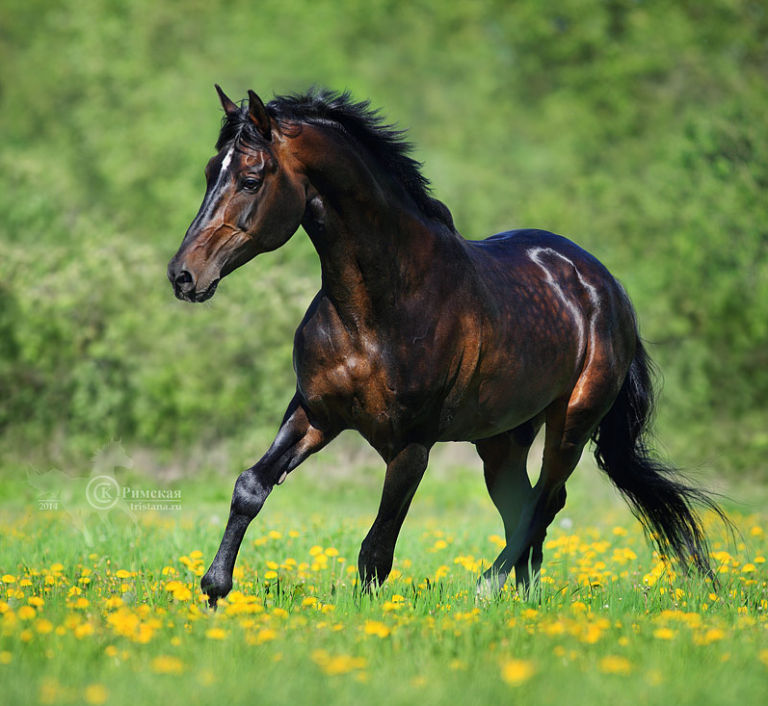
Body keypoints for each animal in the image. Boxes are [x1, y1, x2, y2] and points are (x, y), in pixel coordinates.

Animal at [167, 86, 724, 607]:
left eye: (251, 179)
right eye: (209, 172)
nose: (183, 275)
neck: (378, 308)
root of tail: (607, 287)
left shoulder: (412, 445)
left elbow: (377, 549)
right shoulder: (316, 413)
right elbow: (250, 487)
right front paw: (214, 589)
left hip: (572, 423)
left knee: (545, 502)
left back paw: (487, 587)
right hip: (501, 441)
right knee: (524, 510)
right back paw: (522, 598)